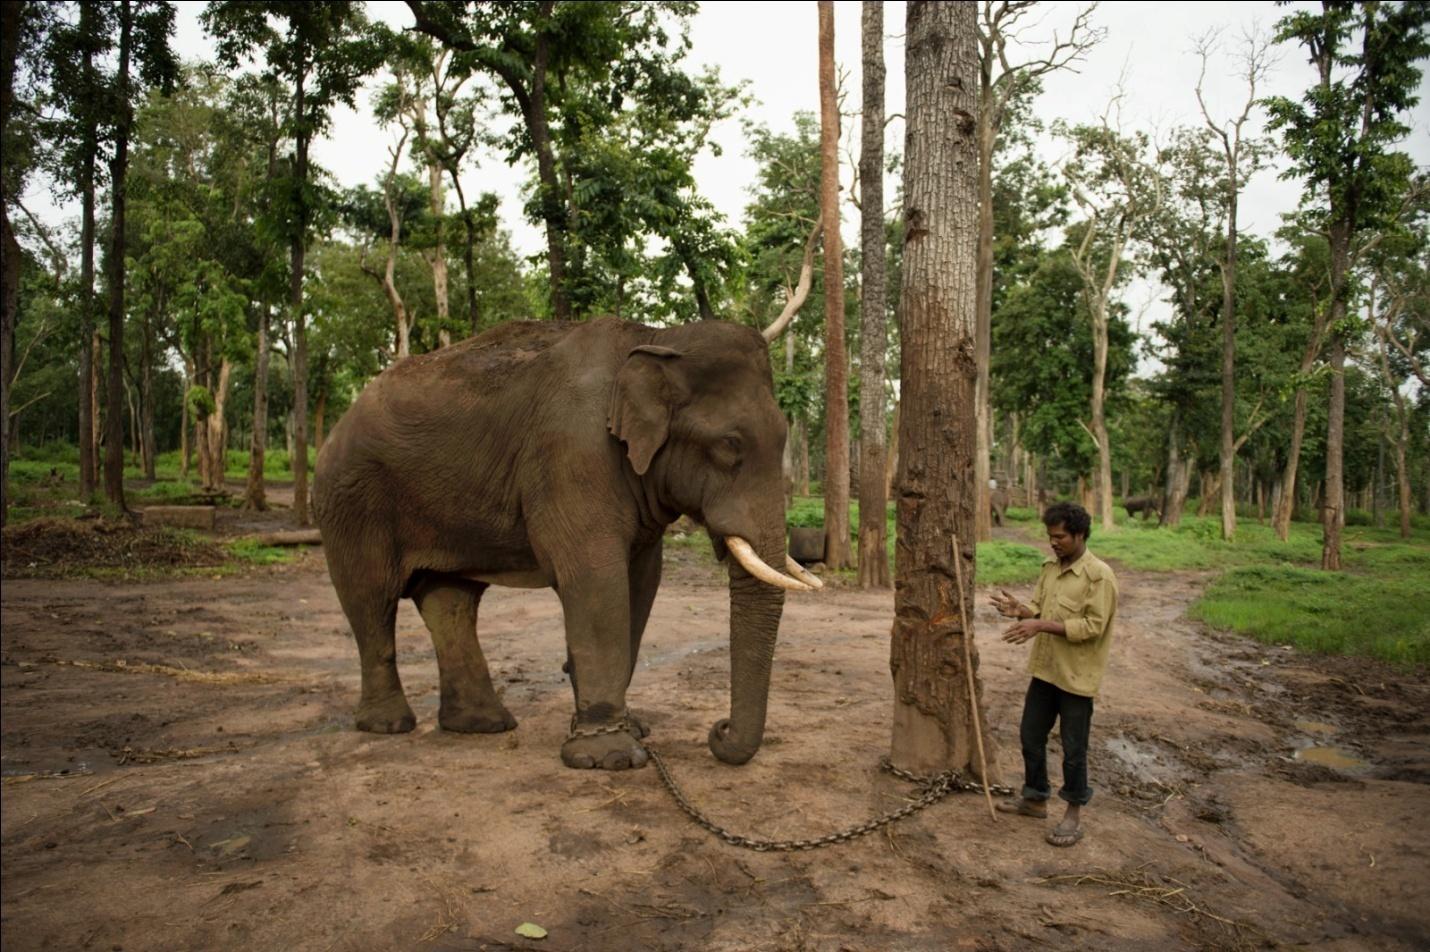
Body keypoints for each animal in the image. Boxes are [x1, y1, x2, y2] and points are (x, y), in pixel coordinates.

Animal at [317, 318, 823, 771]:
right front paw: (611, 757)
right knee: (371, 599)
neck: (656, 337)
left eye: (781, 437)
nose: (718, 730)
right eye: (728, 445)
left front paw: (629, 729)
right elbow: (597, 579)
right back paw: (389, 725)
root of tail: (337, 425)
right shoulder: (572, 454)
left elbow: (640, 582)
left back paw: (482, 724)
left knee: (451, 601)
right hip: (352, 500)